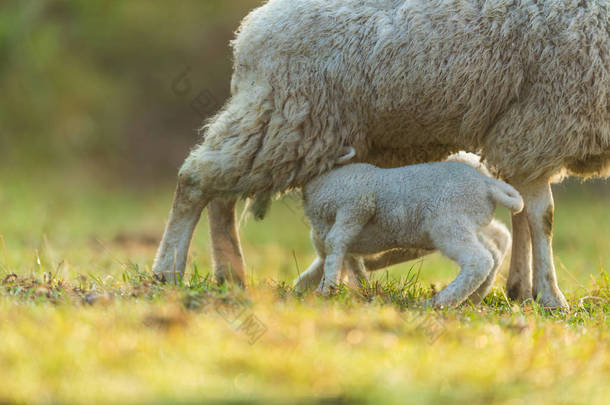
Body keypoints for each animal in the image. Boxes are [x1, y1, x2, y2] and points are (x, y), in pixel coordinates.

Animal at [296, 158, 520, 306]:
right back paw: (472, 298)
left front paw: (326, 290)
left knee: (480, 260)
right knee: (496, 246)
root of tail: (487, 184)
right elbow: (343, 261)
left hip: (448, 223)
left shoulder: (356, 204)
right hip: (470, 223)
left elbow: (335, 247)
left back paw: (438, 302)